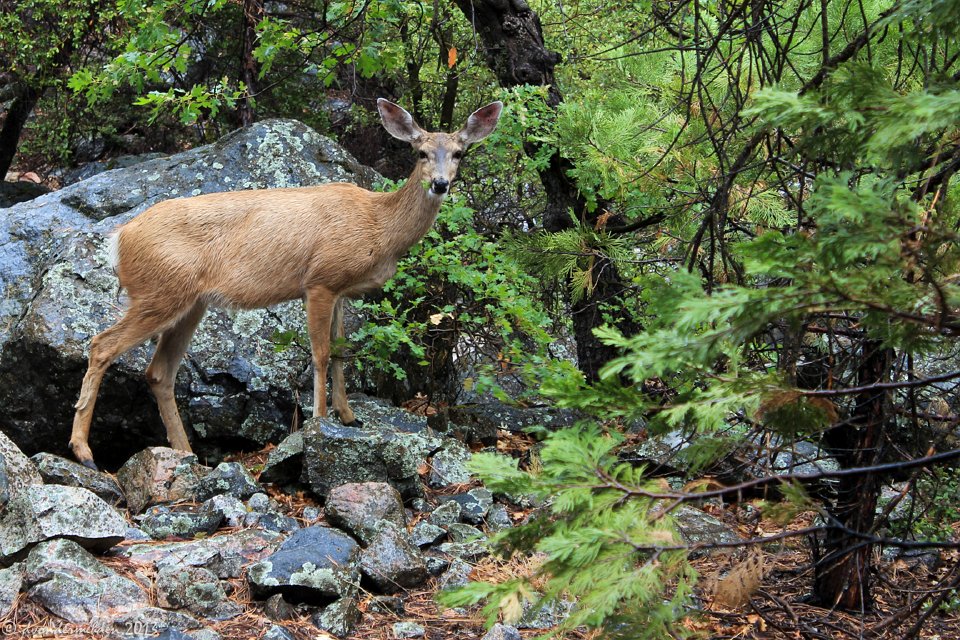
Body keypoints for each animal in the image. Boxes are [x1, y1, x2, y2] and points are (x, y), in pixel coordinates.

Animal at [68, 98, 503, 469]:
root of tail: (119, 238)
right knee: (101, 344)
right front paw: (320, 422)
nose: (441, 184)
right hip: (159, 290)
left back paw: (185, 452)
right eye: (420, 152)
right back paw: (84, 451)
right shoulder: (320, 280)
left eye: (459, 153)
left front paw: (349, 416)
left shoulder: (342, 290)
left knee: (159, 372)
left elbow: (342, 350)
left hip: (190, 302)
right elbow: (321, 353)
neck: (378, 226)